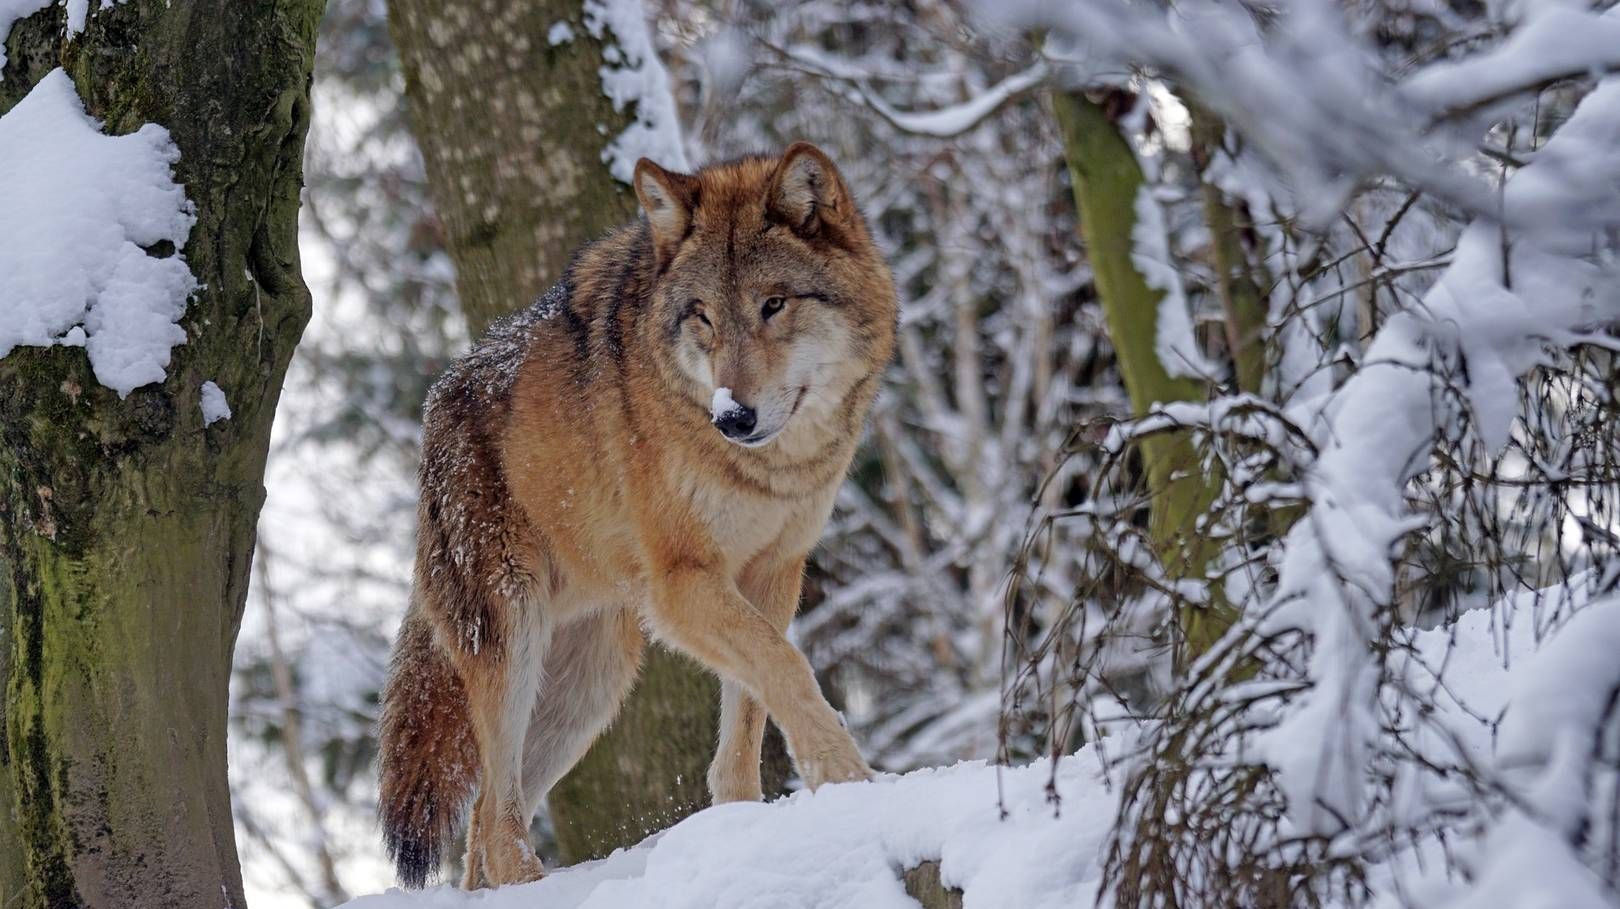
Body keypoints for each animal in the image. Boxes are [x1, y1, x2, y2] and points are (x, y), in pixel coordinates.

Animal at [377, 143, 900, 887]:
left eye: (774, 304)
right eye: (702, 315)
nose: (733, 417)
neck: (770, 470)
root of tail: (435, 406)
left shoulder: (773, 573)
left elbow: (751, 710)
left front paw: (744, 824)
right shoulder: (682, 584)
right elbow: (789, 669)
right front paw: (849, 780)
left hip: (590, 686)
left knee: (482, 821)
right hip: (514, 641)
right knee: (495, 817)